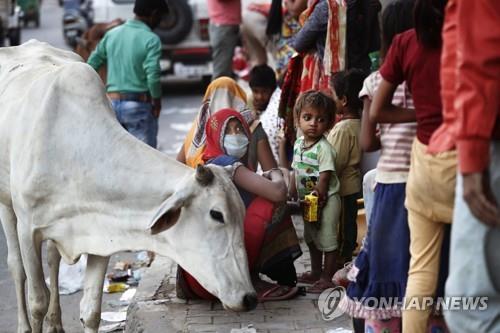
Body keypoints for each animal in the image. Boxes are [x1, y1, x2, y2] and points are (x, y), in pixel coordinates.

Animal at [0, 40, 258, 332]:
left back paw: (56, 323)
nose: (249, 298)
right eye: (217, 214)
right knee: (16, 267)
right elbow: (37, 301)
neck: (75, 152)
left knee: (53, 260)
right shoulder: (28, 230)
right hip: (8, 206)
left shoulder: (99, 232)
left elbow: (91, 311)